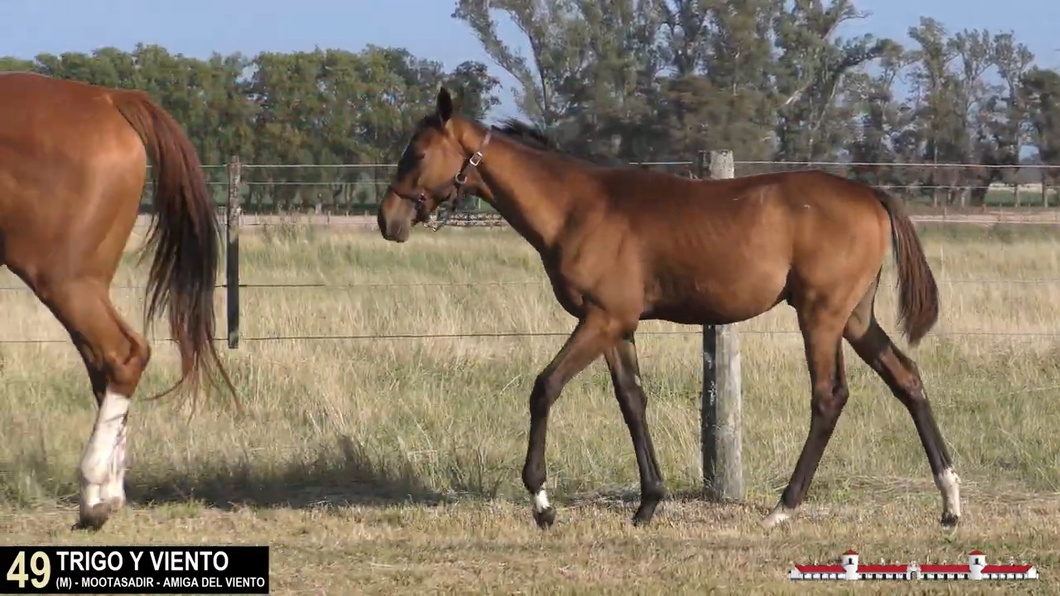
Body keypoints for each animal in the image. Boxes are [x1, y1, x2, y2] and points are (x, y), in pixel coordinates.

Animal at [0, 73, 234, 528]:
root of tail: (110, 98)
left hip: (66, 282)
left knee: (123, 355)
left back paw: (94, 491)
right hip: (86, 286)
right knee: (105, 365)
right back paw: (104, 492)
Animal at [375, 88, 962, 528]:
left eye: (417, 153)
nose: (387, 220)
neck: (576, 208)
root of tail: (869, 194)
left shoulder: (601, 318)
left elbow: (545, 387)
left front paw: (542, 504)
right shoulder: (617, 327)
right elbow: (632, 401)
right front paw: (648, 503)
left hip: (820, 316)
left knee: (829, 397)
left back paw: (783, 508)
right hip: (856, 318)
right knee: (907, 378)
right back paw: (950, 503)